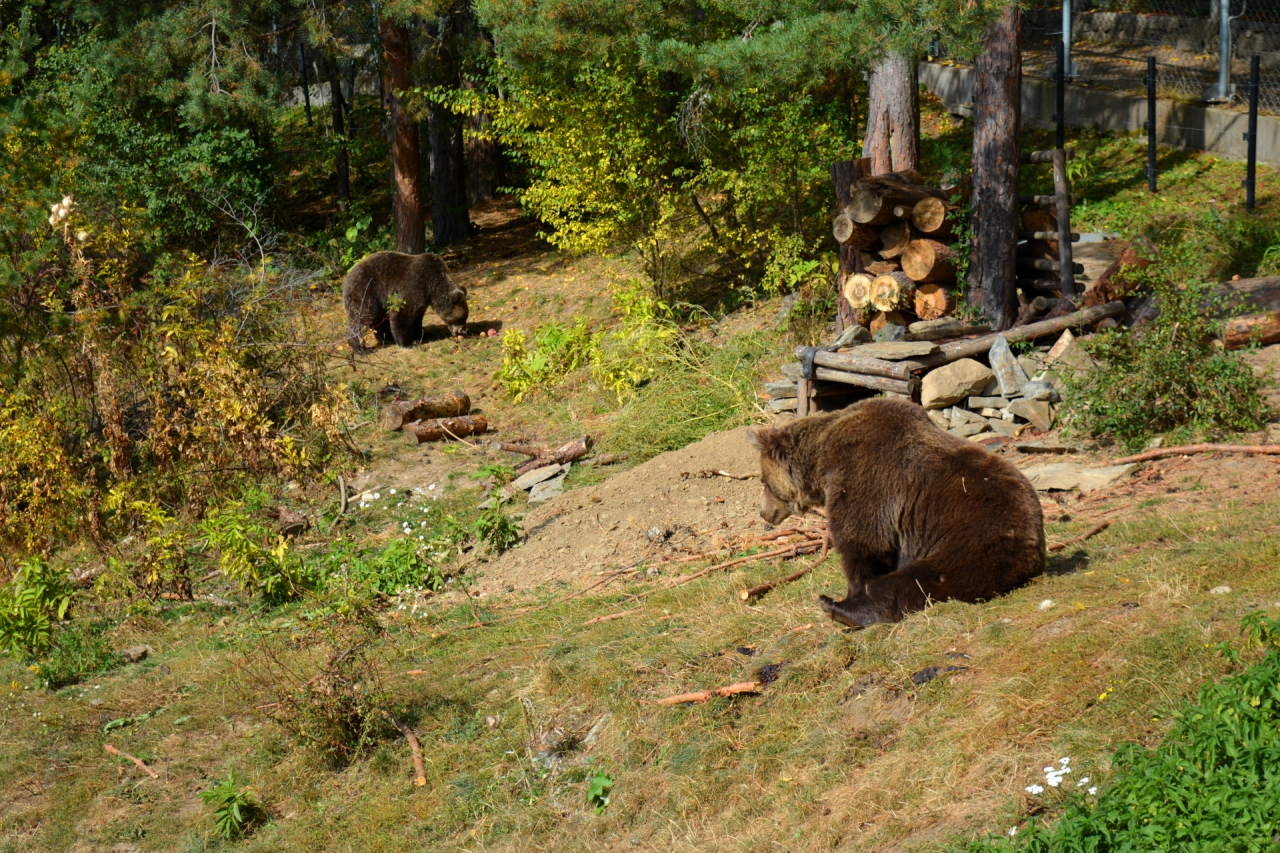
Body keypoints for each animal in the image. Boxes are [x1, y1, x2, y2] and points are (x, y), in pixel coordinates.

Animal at [747, 397, 1039, 625]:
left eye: (763, 481)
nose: (764, 514)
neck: (820, 463)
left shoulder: (863, 475)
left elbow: (863, 543)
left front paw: (852, 593)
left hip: (975, 536)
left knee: (919, 580)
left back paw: (835, 607)